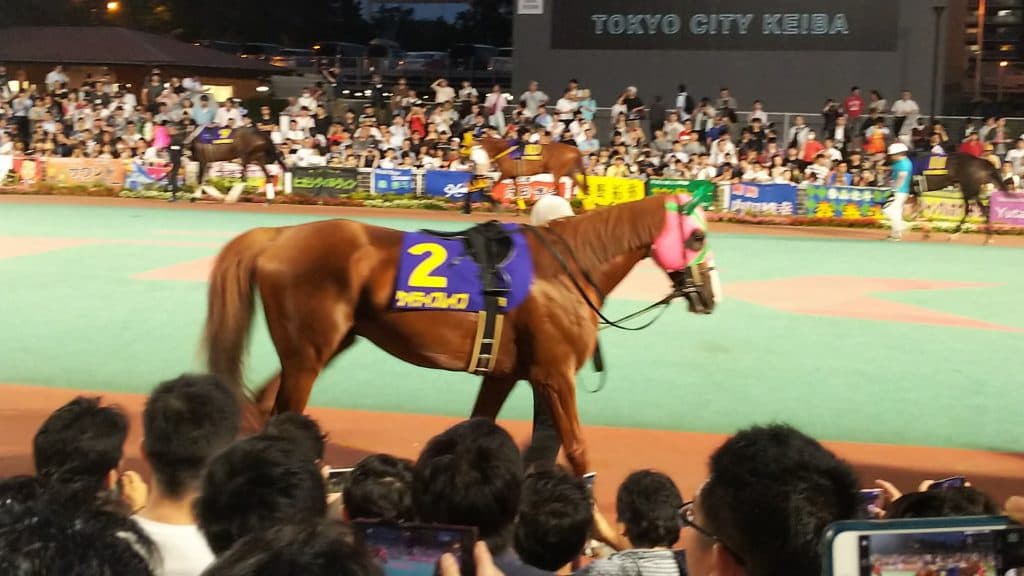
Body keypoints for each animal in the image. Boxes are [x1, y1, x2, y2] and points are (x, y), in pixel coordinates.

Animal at [202, 192, 720, 475]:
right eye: (697, 237)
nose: (710, 295)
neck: (564, 271)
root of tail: (278, 234)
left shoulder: (507, 373)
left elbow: (482, 428)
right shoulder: (554, 374)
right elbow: (575, 447)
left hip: (325, 345)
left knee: (264, 401)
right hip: (309, 353)